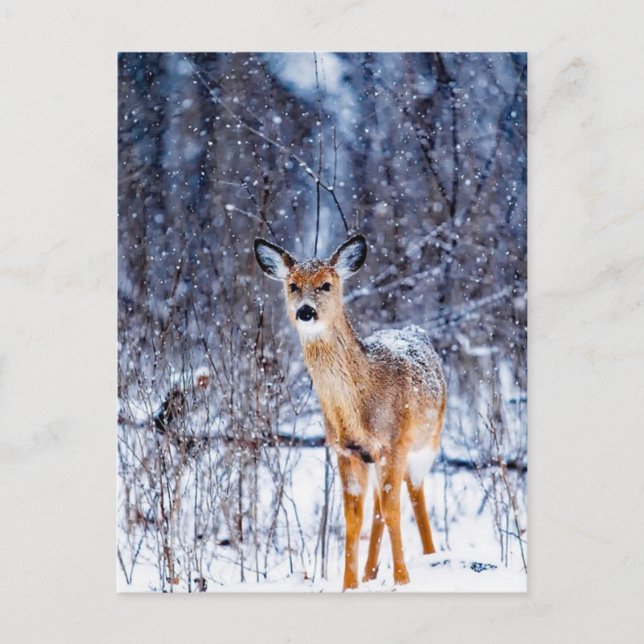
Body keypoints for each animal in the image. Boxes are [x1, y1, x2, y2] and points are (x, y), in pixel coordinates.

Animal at [254, 234, 446, 590]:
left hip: (428, 441)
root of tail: (415, 330)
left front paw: (403, 580)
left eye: (326, 284)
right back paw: (371, 572)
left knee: (414, 493)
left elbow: (394, 509)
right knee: (378, 506)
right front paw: (349, 584)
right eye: (293, 285)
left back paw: (430, 555)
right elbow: (353, 517)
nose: (305, 311)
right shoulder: (347, 450)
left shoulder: (394, 442)